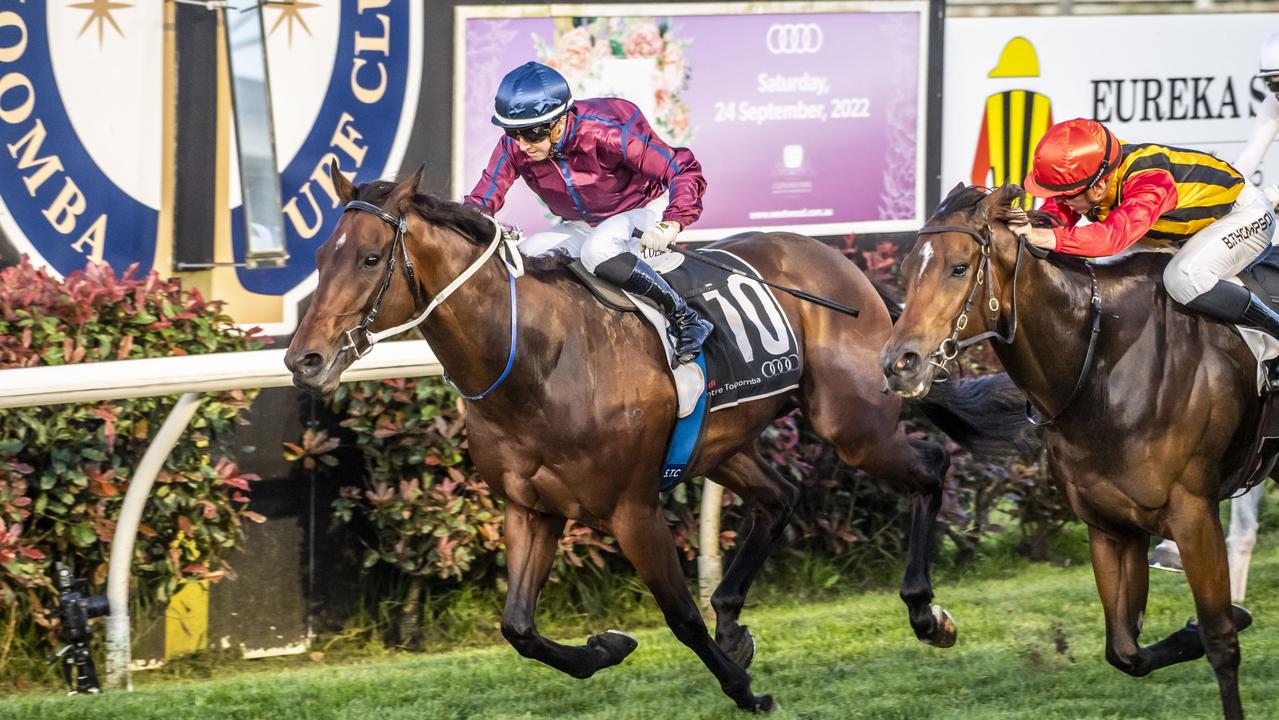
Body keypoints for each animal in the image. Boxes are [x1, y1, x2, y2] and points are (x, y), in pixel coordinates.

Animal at [285, 166, 1023, 711]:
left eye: (371, 257)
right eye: (321, 256)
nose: (304, 359)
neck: (536, 360)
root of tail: (846, 266)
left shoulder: (631, 509)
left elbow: (679, 617)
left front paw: (745, 691)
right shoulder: (531, 508)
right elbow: (518, 627)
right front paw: (608, 647)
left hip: (853, 423)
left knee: (930, 465)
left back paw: (926, 612)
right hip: (722, 443)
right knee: (778, 497)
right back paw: (736, 617)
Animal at [879, 184, 1258, 720]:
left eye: (958, 267)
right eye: (909, 268)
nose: (899, 365)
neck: (1100, 360)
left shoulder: (1194, 514)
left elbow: (1221, 639)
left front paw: (1227, 620)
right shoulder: (1111, 524)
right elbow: (1125, 651)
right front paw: (1195, 629)